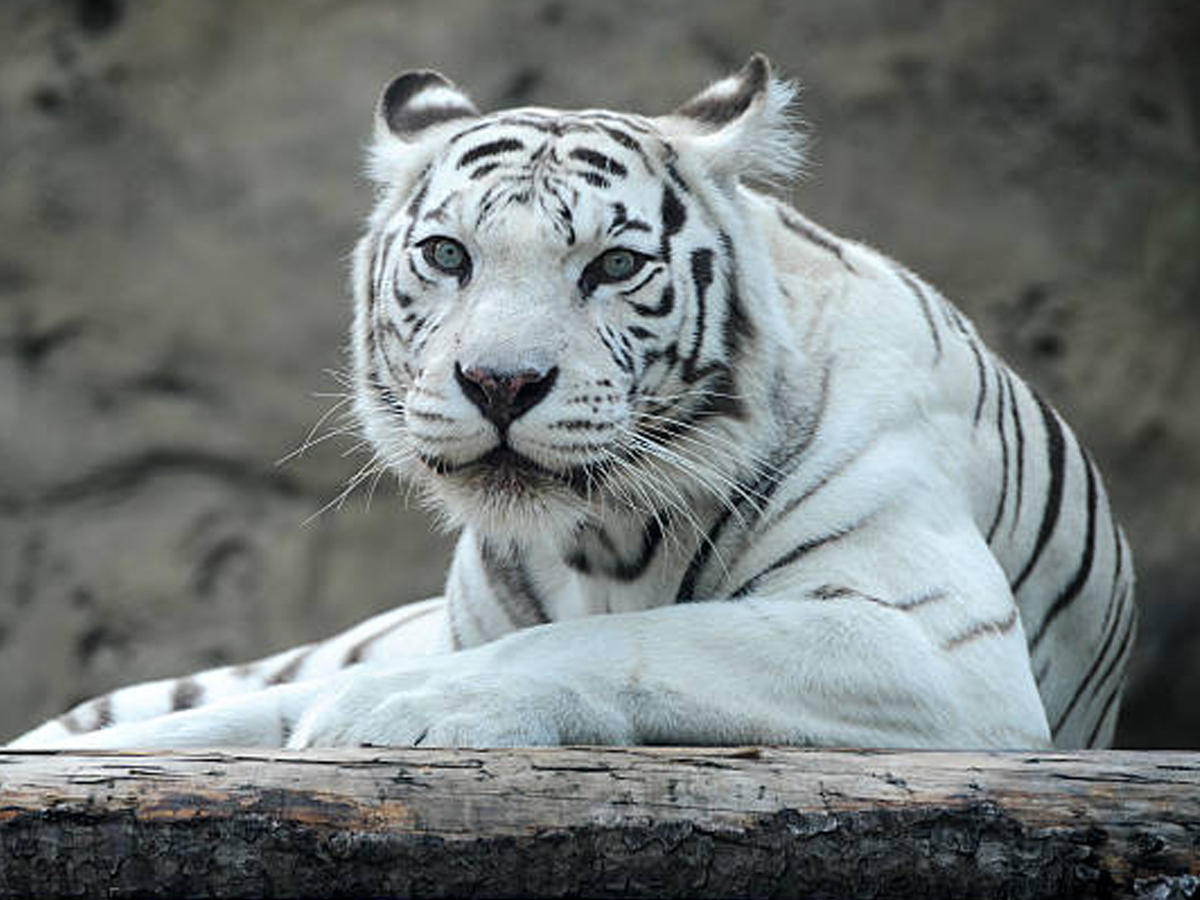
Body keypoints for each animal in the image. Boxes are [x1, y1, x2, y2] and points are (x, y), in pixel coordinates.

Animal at [9, 55, 1135, 751]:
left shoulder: (930, 642)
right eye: (448, 255)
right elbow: (220, 726)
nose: (500, 383)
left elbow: (632, 639)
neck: (605, 540)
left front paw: (397, 707)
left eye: (615, 264)